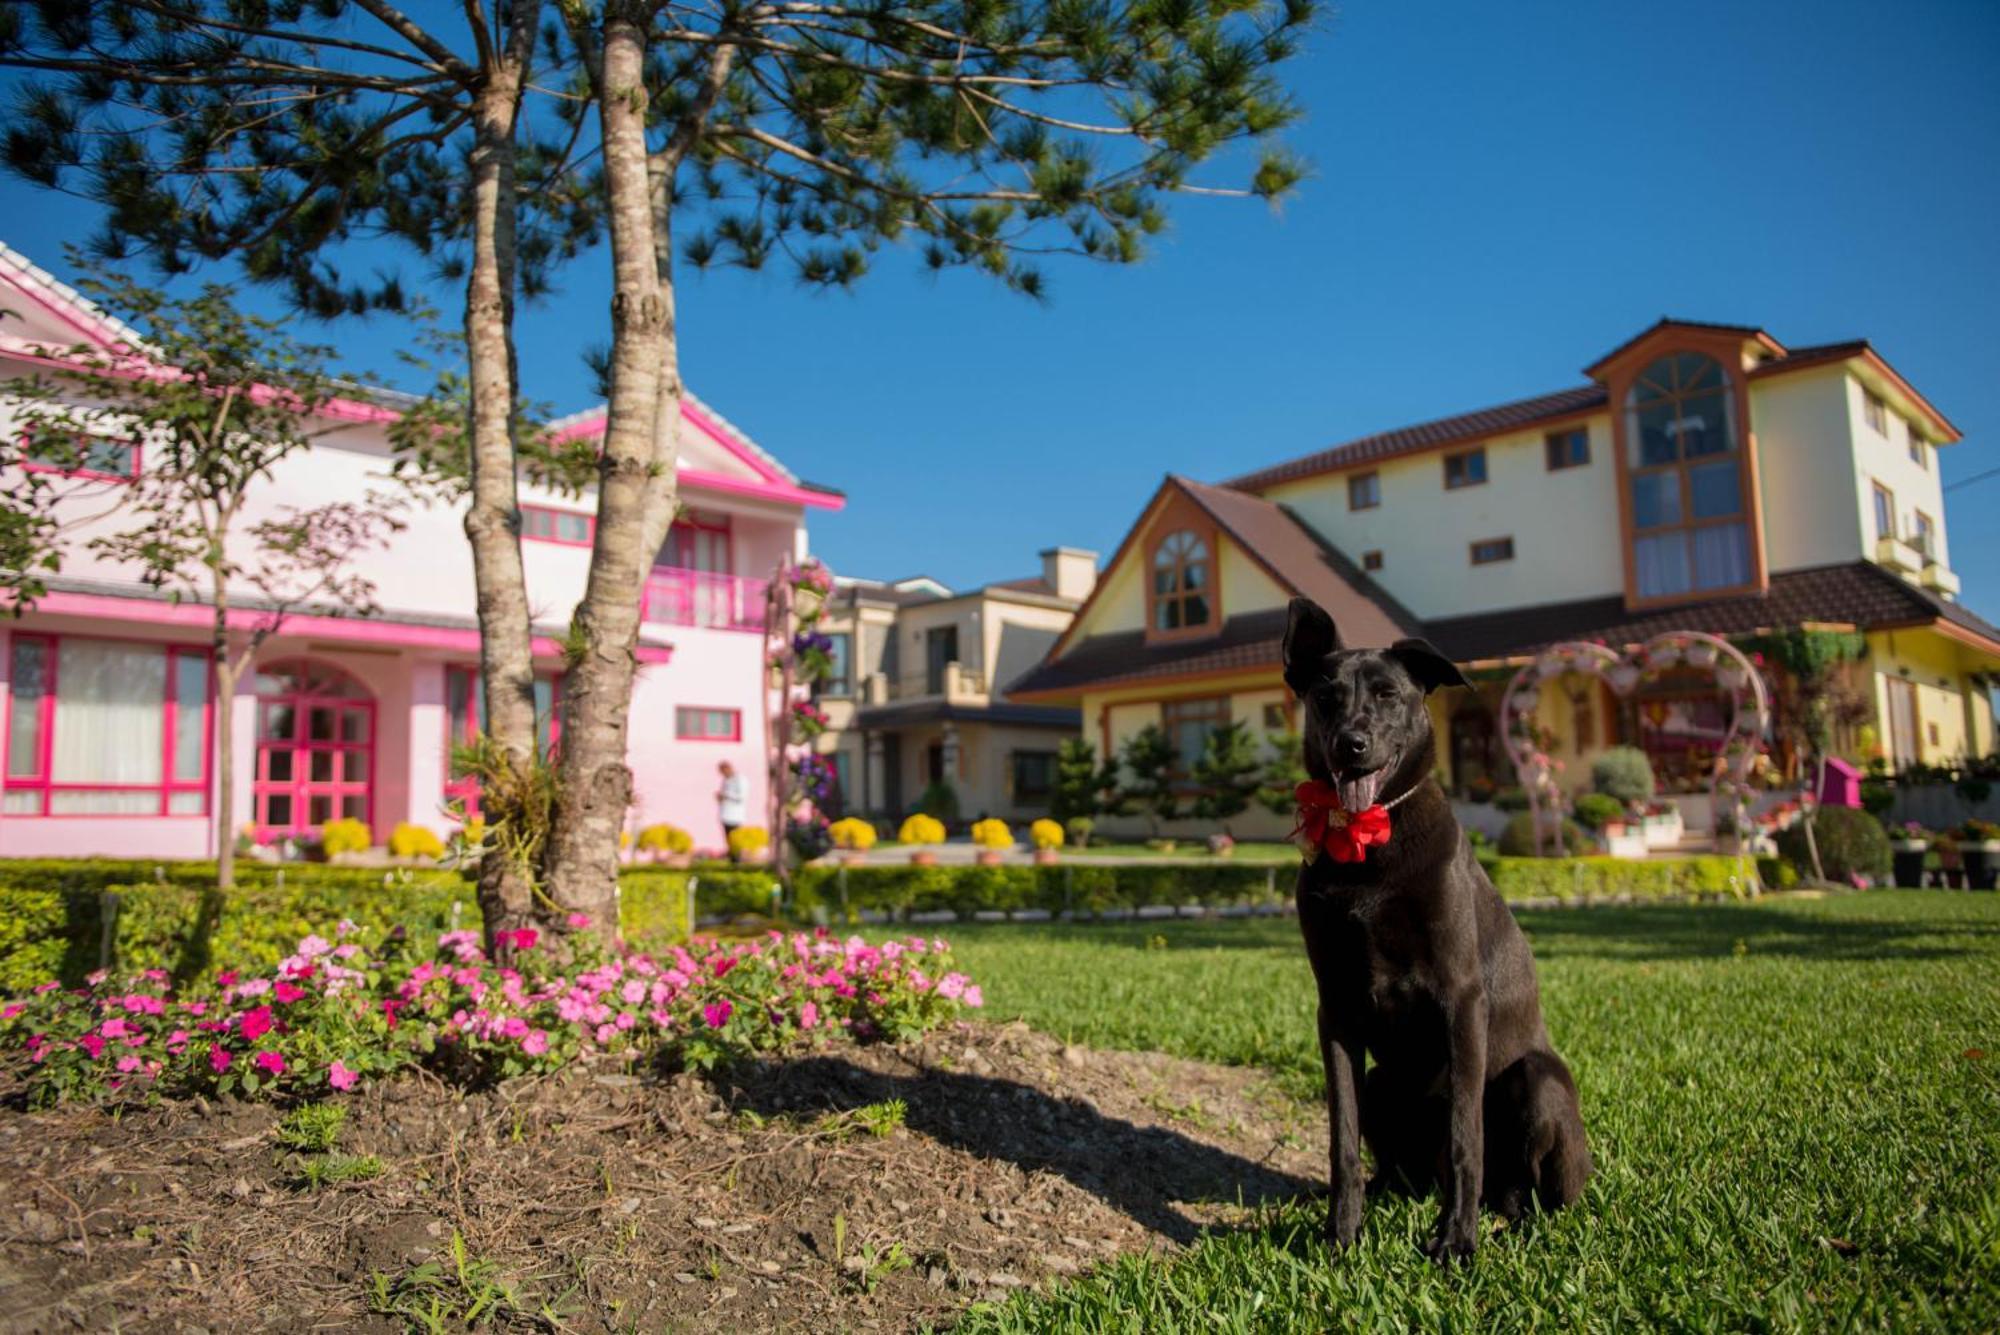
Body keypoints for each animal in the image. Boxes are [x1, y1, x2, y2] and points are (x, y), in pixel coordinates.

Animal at [1280, 595, 1592, 1263]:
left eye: (1388, 694)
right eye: (1325, 698)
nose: (1351, 745)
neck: (1369, 843)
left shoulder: (1461, 1000)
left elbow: (1464, 1134)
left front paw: (1456, 1241)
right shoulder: (1335, 1010)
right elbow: (1341, 1139)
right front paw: (1341, 1234)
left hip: (1537, 1082)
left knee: (1527, 1193)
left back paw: (1502, 1222)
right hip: (1382, 1084)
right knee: (1405, 1169)